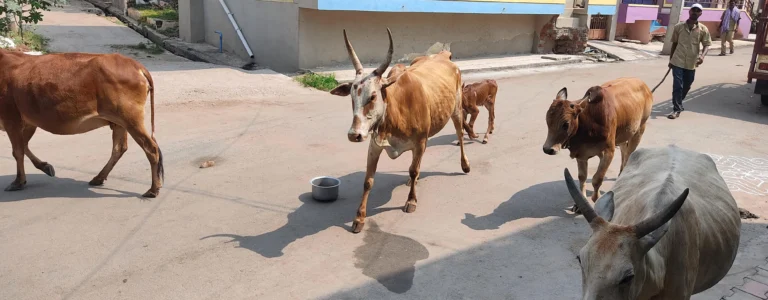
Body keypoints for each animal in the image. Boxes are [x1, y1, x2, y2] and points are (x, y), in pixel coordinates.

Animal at [0, 48, 164, 197]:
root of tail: (136, 65)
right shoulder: (28, 122)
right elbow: (24, 146)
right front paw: (46, 167)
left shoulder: (11, 119)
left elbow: (18, 151)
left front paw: (18, 182)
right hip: (119, 122)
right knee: (119, 148)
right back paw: (98, 178)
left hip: (131, 120)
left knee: (151, 148)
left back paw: (153, 189)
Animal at [328, 28, 472, 233]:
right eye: (352, 96)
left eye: (373, 96)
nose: (354, 134)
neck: (396, 110)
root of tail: (443, 55)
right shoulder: (375, 145)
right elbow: (368, 180)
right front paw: (359, 218)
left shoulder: (419, 142)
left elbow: (413, 169)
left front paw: (411, 201)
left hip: (457, 110)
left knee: (460, 136)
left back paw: (464, 165)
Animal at [544, 78, 652, 212]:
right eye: (547, 121)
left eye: (566, 124)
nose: (547, 149)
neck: (588, 123)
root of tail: (643, 84)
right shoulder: (581, 154)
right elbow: (582, 177)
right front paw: (579, 204)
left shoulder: (608, 152)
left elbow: (597, 179)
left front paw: (597, 198)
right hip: (623, 134)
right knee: (624, 151)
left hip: (639, 130)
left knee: (629, 155)